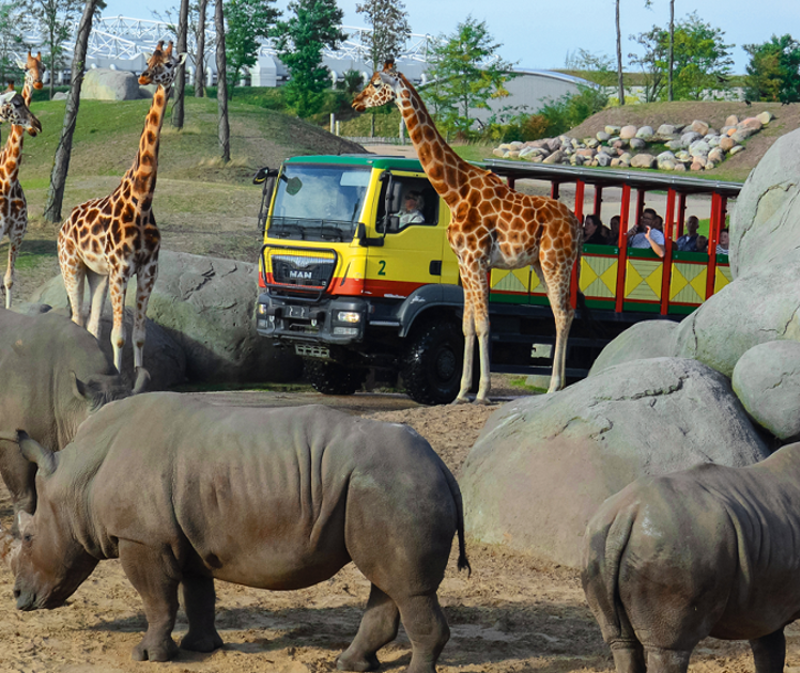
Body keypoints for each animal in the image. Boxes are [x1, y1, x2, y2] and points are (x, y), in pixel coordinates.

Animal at [58, 41, 186, 375]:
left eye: (169, 63)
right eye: (149, 59)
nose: (143, 77)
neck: (142, 200)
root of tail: (64, 223)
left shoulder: (148, 269)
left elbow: (139, 335)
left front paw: (140, 376)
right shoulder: (121, 268)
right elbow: (118, 335)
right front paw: (120, 376)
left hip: (98, 274)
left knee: (91, 323)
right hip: (71, 264)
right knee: (77, 318)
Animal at [353, 61, 582, 404]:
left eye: (376, 83)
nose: (356, 102)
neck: (454, 191)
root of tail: (577, 225)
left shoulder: (477, 259)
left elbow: (485, 324)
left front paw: (483, 392)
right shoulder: (463, 263)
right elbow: (467, 326)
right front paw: (461, 392)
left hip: (557, 261)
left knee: (564, 314)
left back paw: (556, 385)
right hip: (540, 264)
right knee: (561, 313)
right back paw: (557, 384)